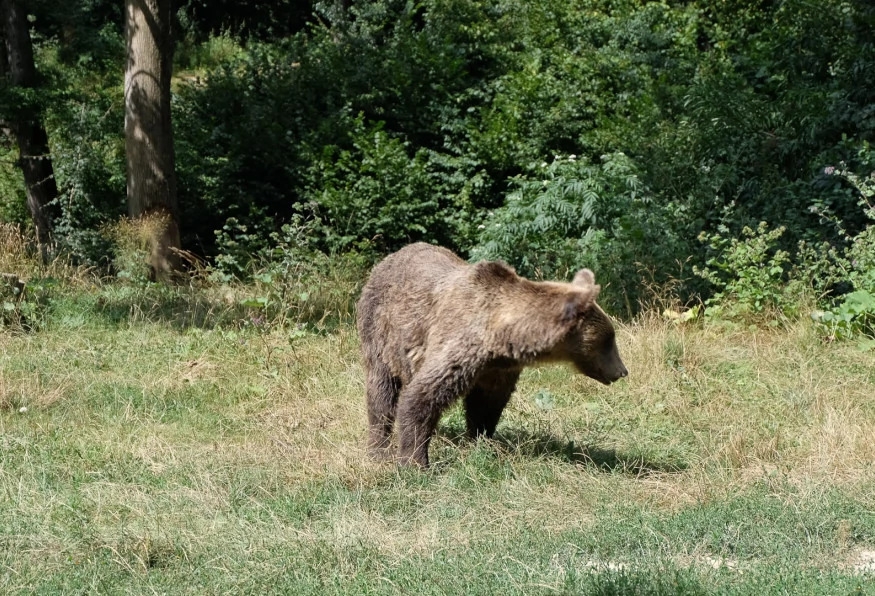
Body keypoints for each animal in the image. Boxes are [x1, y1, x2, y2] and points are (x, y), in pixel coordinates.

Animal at [356, 242, 628, 467]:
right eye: (609, 339)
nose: (622, 371)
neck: (500, 337)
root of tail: (389, 257)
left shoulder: (496, 369)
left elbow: (487, 404)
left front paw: (482, 442)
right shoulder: (459, 344)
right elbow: (421, 397)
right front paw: (415, 461)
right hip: (379, 332)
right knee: (381, 391)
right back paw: (378, 448)